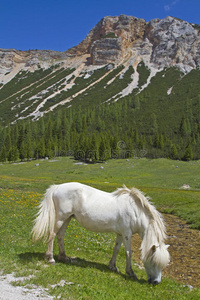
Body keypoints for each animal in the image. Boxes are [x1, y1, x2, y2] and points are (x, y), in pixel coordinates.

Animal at [32, 182, 170, 284]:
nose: (156, 282)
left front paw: (112, 266)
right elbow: (128, 253)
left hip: (67, 218)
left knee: (60, 236)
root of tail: (57, 187)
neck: (135, 210)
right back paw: (50, 259)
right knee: (52, 235)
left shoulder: (120, 234)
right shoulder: (127, 233)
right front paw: (131, 273)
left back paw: (64, 257)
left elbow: (116, 249)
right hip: (60, 218)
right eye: (154, 262)